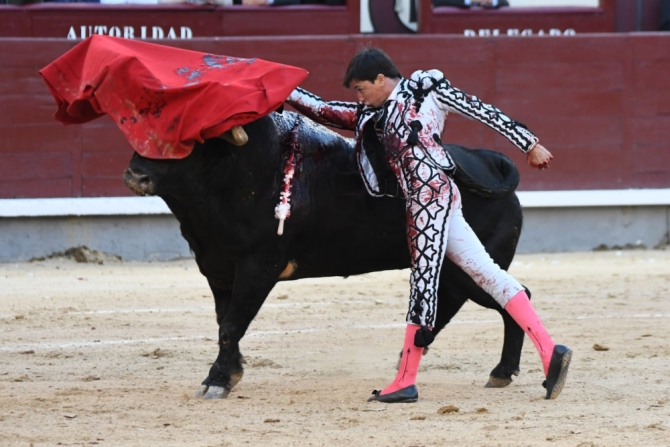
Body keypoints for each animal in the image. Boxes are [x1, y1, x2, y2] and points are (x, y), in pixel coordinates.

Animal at [122, 110, 532, 400]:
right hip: (452, 270)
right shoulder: (218, 269)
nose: (136, 176)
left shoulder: (258, 267)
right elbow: (227, 323)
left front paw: (218, 381)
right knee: (456, 303)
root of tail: (491, 165)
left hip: (469, 269)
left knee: (514, 296)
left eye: (186, 141)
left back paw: (500, 371)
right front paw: (231, 372)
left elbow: (232, 324)